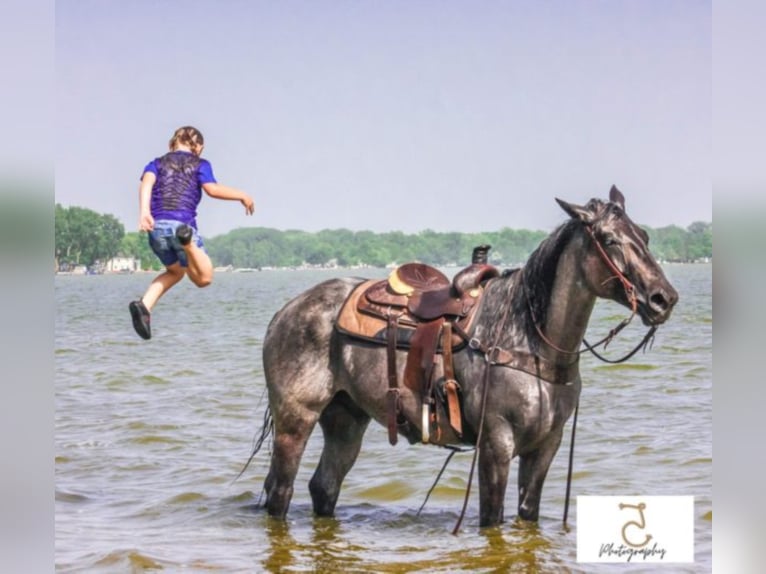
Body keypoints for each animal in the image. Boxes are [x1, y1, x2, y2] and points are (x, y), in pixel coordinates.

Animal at [248, 187, 680, 528]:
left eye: (643, 235)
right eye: (608, 239)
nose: (664, 298)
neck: (529, 339)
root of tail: (287, 310)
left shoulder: (545, 447)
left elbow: (527, 514)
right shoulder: (496, 443)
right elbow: (492, 518)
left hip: (345, 421)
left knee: (323, 487)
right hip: (295, 421)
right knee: (281, 492)